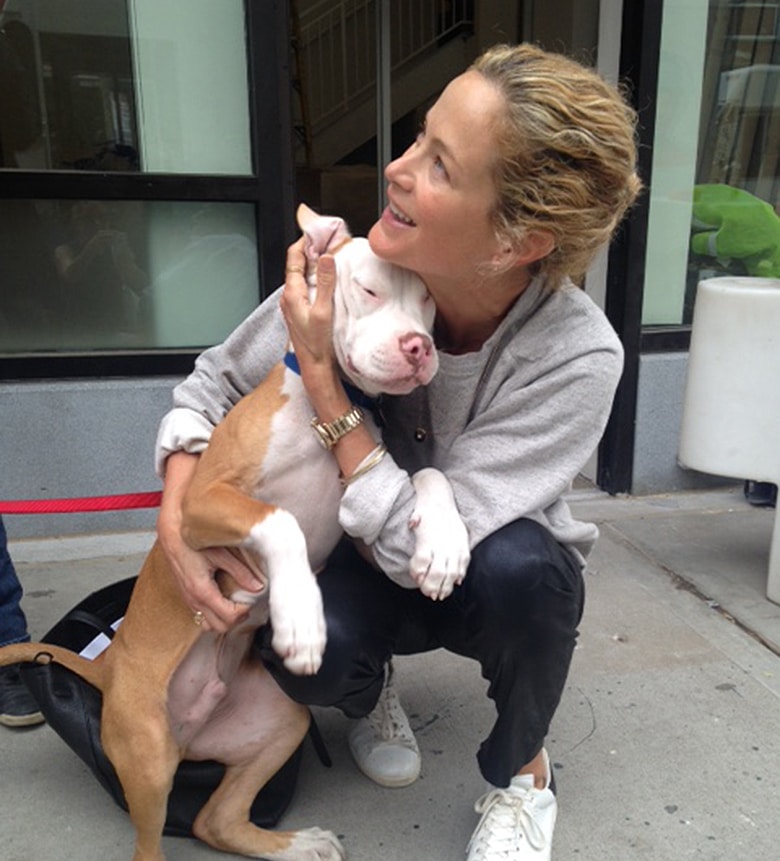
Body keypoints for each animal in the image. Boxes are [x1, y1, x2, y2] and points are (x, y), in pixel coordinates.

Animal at [1, 203, 470, 860]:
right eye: (370, 289)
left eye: (427, 302)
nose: (418, 346)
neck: (325, 410)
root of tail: (108, 667)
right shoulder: (200, 502)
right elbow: (280, 520)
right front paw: (300, 619)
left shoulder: (363, 524)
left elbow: (427, 475)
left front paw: (443, 550)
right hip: (148, 757)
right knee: (153, 841)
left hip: (279, 722)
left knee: (213, 820)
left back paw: (297, 843)